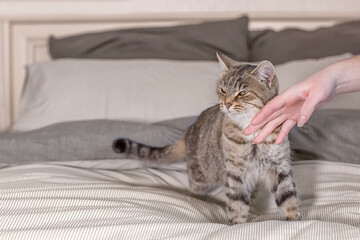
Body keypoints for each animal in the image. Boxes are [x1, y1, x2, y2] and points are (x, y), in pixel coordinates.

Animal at [112, 52, 300, 223]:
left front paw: (294, 220)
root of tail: (189, 130)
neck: (253, 133)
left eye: (241, 93)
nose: (227, 104)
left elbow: (288, 198)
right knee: (195, 190)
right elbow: (237, 204)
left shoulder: (280, 168)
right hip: (202, 175)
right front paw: (237, 225)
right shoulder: (234, 173)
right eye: (222, 90)